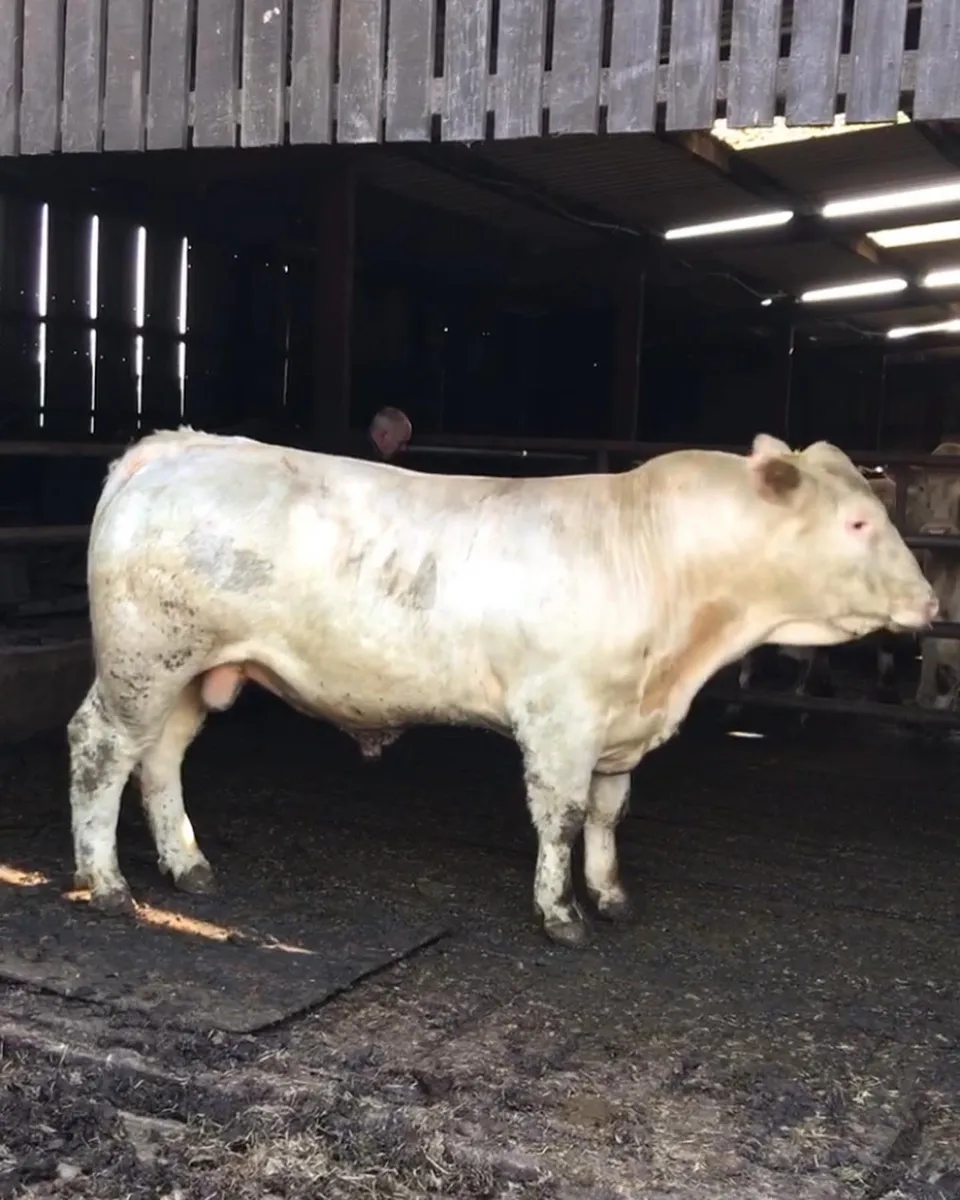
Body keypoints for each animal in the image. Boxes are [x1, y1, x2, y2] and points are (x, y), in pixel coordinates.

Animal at [67, 428, 937, 948]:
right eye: (859, 523)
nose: (932, 604)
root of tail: (178, 446)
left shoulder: (620, 727)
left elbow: (609, 815)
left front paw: (610, 894)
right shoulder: (561, 720)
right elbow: (563, 817)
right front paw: (560, 914)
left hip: (188, 674)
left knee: (160, 760)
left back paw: (188, 865)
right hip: (143, 662)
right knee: (100, 751)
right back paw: (106, 882)